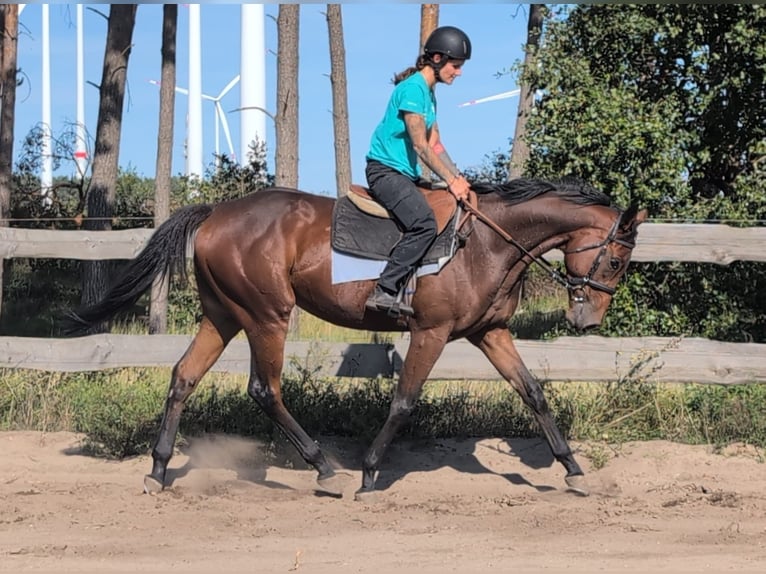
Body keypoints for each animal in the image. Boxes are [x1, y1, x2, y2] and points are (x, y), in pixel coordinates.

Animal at [66, 178, 647, 500]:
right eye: (616, 261)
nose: (587, 320)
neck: (486, 242)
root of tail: (216, 213)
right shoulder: (431, 332)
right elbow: (405, 401)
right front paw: (369, 474)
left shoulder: (490, 333)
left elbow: (533, 394)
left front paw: (573, 470)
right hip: (267, 316)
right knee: (264, 389)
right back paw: (324, 469)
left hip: (224, 316)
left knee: (183, 376)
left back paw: (158, 469)